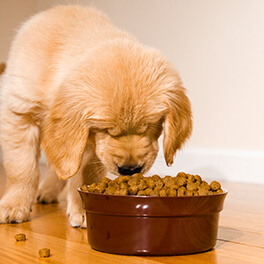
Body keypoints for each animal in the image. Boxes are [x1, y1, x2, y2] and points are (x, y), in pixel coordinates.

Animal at [0, 5, 191, 227]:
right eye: (107, 130)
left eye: (151, 126)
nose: (130, 169)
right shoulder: (19, 112)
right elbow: (22, 168)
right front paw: (14, 205)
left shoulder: (89, 143)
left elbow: (84, 173)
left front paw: (83, 208)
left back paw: (48, 191)